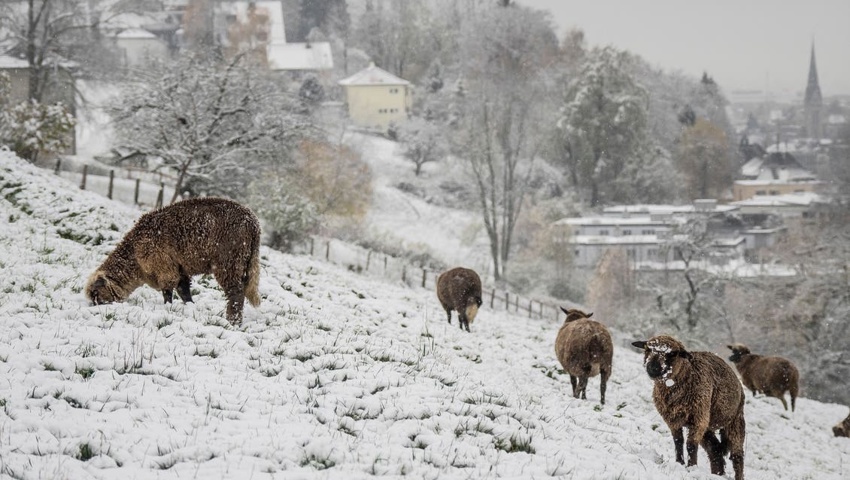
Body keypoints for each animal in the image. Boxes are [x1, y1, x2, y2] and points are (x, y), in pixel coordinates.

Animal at [85, 197, 261, 325]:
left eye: (96, 293)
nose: (94, 308)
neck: (134, 255)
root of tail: (253, 223)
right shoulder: (179, 269)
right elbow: (184, 292)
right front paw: (190, 308)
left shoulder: (165, 268)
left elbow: (168, 292)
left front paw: (168, 309)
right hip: (244, 261)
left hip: (229, 261)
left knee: (236, 292)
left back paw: (233, 321)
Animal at [632, 335, 746, 480]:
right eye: (647, 349)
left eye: (672, 354)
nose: (653, 368)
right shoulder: (673, 419)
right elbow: (678, 441)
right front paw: (679, 463)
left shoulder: (698, 419)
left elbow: (691, 445)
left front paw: (691, 467)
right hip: (707, 426)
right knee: (715, 451)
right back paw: (717, 474)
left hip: (734, 422)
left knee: (737, 457)